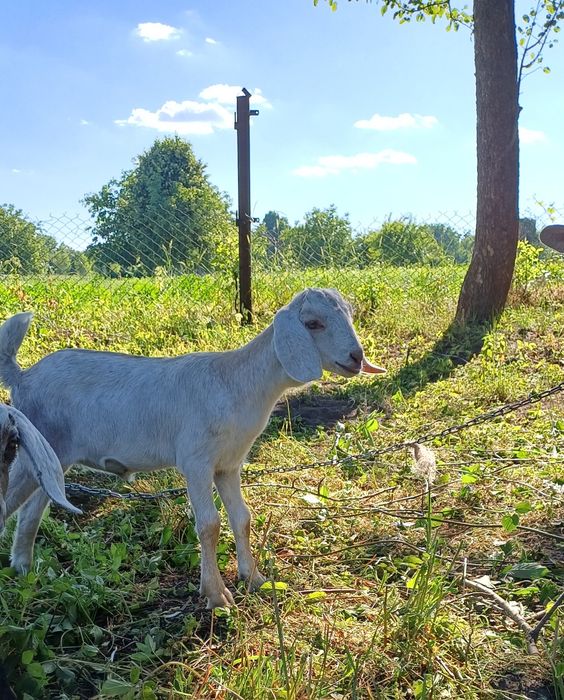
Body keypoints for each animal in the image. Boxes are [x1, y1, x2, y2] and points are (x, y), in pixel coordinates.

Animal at [0, 288, 385, 609]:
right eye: (313, 323)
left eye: (349, 315)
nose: (356, 356)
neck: (237, 383)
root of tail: (23, 377)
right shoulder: (196, 461)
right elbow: (210, 525)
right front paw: (216, 595)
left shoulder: (229, 464)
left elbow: (242, 518)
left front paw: (254, 579)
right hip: (34, 445)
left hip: (52, 457)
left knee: (31, 510)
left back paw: (23, 568)